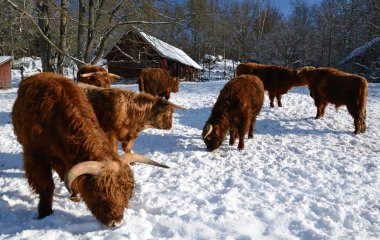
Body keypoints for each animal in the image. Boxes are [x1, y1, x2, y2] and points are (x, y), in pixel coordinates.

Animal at [11, 71, 168, 227]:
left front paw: (74, 196)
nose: (115, 221)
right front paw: (45, 213)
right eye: (100, 194)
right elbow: (45, 186)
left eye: (127, 193)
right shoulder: (34, 155)